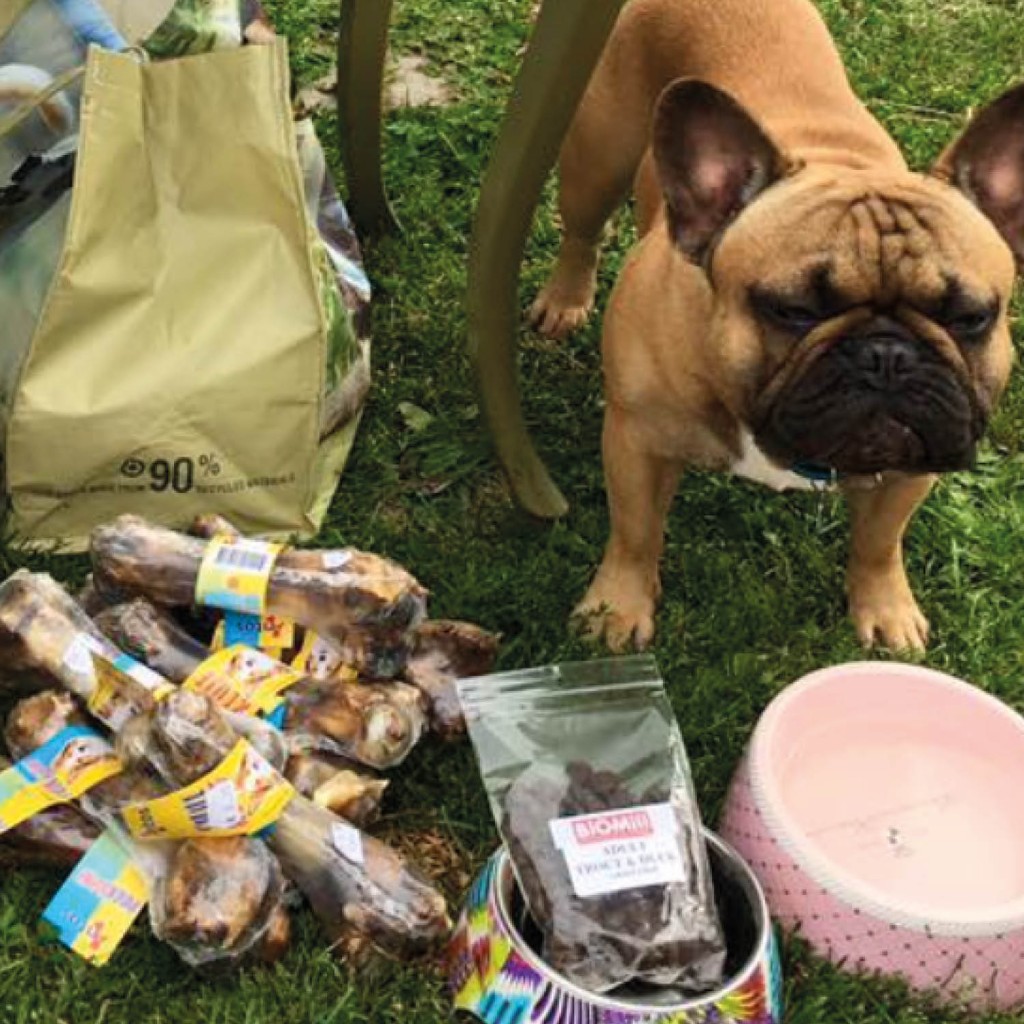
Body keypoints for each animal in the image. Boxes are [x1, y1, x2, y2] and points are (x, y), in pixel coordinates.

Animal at [529, 0, 1023, 652]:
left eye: (970, 317)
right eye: (792, 310)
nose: (887, 355)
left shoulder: (916, 464)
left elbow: (879, 543)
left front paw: (886, 610)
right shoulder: (637, 442)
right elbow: (635, 533)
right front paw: (615, 609)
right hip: (596, 158)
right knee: (582, 232)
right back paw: (564, 299)